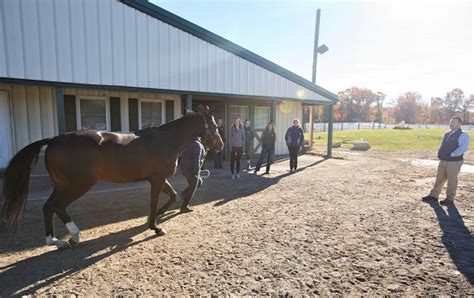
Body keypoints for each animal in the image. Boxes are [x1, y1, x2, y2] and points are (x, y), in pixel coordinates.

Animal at [1, 108, 224, 248]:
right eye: (214, 125)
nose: (220, 144)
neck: (166, 140)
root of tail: (55, 139)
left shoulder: (159, 179)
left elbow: (173, 195)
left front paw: (154, 218)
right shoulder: (157, 180)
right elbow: (155, 202)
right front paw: (155, 227)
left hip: (62, 184)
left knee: (49, 207)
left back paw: (57, 241)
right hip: (78, 184)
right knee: (57, 206)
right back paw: (74, 236)